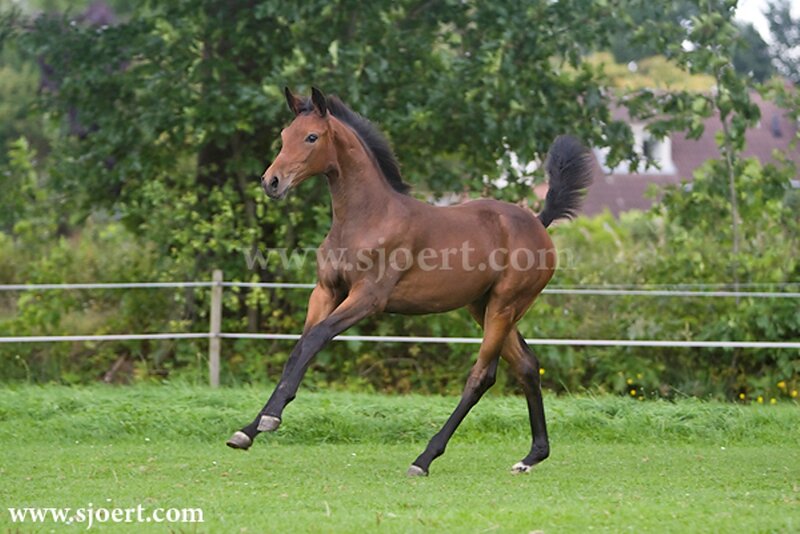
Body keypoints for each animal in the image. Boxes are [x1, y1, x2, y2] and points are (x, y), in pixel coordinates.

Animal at [226, 87, 592, 476]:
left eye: (312, 137)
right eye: (284, 136)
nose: (271, 182)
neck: (366, 218)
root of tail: (538, 222)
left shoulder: (367, 298)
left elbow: (315, 339)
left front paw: (269, 419)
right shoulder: (325, 292)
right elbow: (299, 348)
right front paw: (248, 430)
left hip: (505, 306)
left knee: (482, 376)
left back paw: (424, 458)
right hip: (485, 307)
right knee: (526, 366)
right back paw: (532, 456)